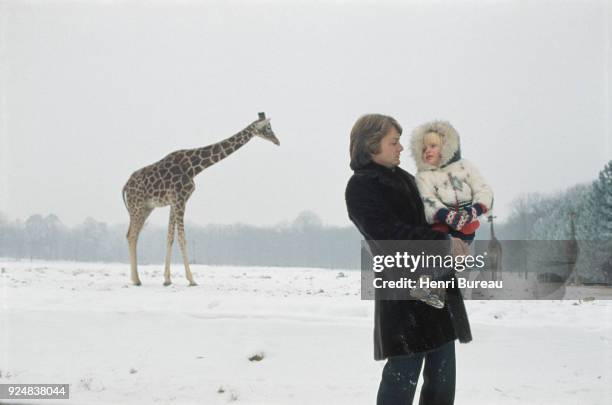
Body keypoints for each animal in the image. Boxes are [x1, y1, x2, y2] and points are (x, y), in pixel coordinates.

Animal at [122, 112, 280, 286]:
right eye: (268, 127)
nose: (277, 141)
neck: (194, 167)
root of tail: (125, 186)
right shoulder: (180, 199)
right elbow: (182, 238)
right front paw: (191, 280)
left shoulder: (174, 202)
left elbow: (170, 237)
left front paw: (167, 279)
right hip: (137, 206)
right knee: (131, 235)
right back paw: (136, 280)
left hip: (147, 207)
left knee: (132, 235)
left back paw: (136, 278)